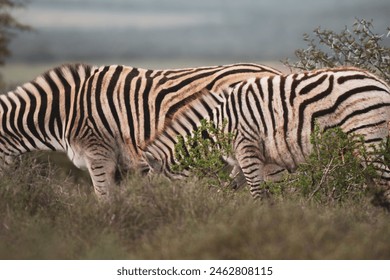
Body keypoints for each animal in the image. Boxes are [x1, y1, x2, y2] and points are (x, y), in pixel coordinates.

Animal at [142, 67, 390, 207]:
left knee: (384, 183)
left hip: (369, 140)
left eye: (156, 193)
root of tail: (381, 82)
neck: (218, 125)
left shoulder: (247, 148)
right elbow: (233, 188)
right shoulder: (251, 158)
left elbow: (257, 192)